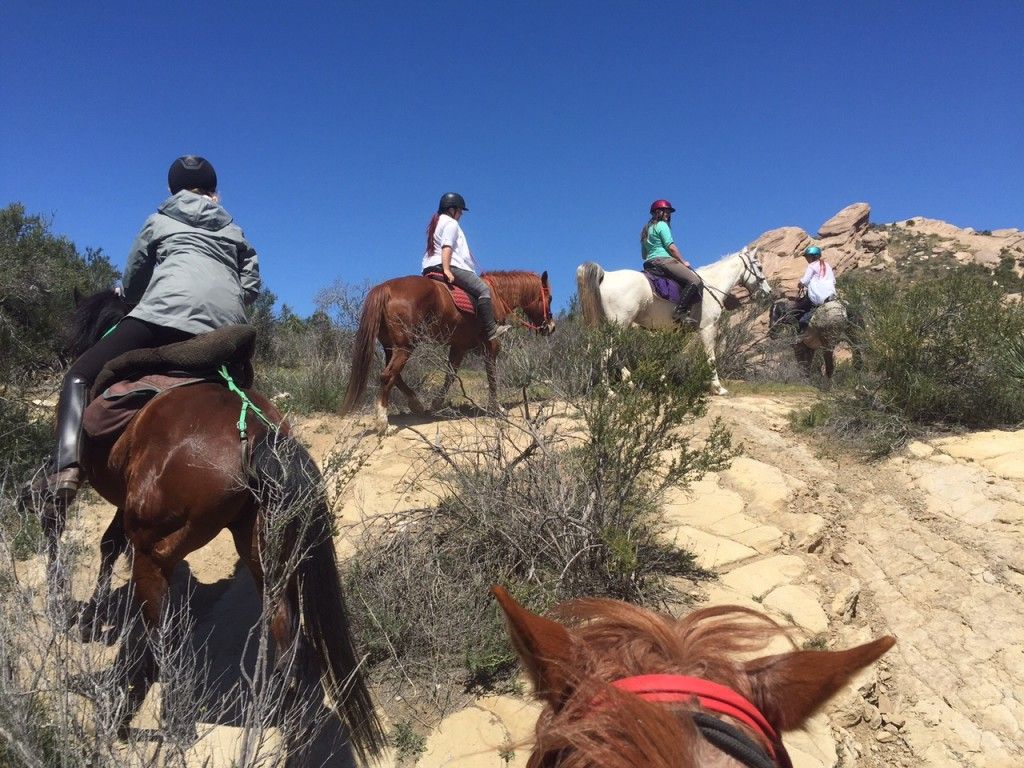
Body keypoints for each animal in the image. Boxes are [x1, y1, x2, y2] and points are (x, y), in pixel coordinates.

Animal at [49, 290, 385, 765]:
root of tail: (259, 433)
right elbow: (110, 542)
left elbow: (109, 544)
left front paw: (95, 608)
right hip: (264, 549)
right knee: (287, 638)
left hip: (156, 552)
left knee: (163, 640)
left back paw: (139, 717)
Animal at [342, 270, 552, 434]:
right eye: (549, 298)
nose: (551, 327)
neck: (496, 296)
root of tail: (385, 287)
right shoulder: (491, 344)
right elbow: (491, 374)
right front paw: (497, 407)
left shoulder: (459, 347)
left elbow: (450, 374)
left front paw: (436, 403)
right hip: (405, 347)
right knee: (388, 376)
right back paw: (383, 423)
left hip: (391, 347)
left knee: (394, 375)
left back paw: (416, 404)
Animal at [581, 249, 770, 397]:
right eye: (760, 267)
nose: (768, 292)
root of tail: (606, 275)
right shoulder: (708, 327)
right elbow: (711, 358)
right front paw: (718, 388)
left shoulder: (680, 332)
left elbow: (672, 355)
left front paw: (662, 381)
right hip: (619, 325)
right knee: (605, 353)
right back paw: (609, 391)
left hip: (619, 327)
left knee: (614, 352)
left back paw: (629, 381)